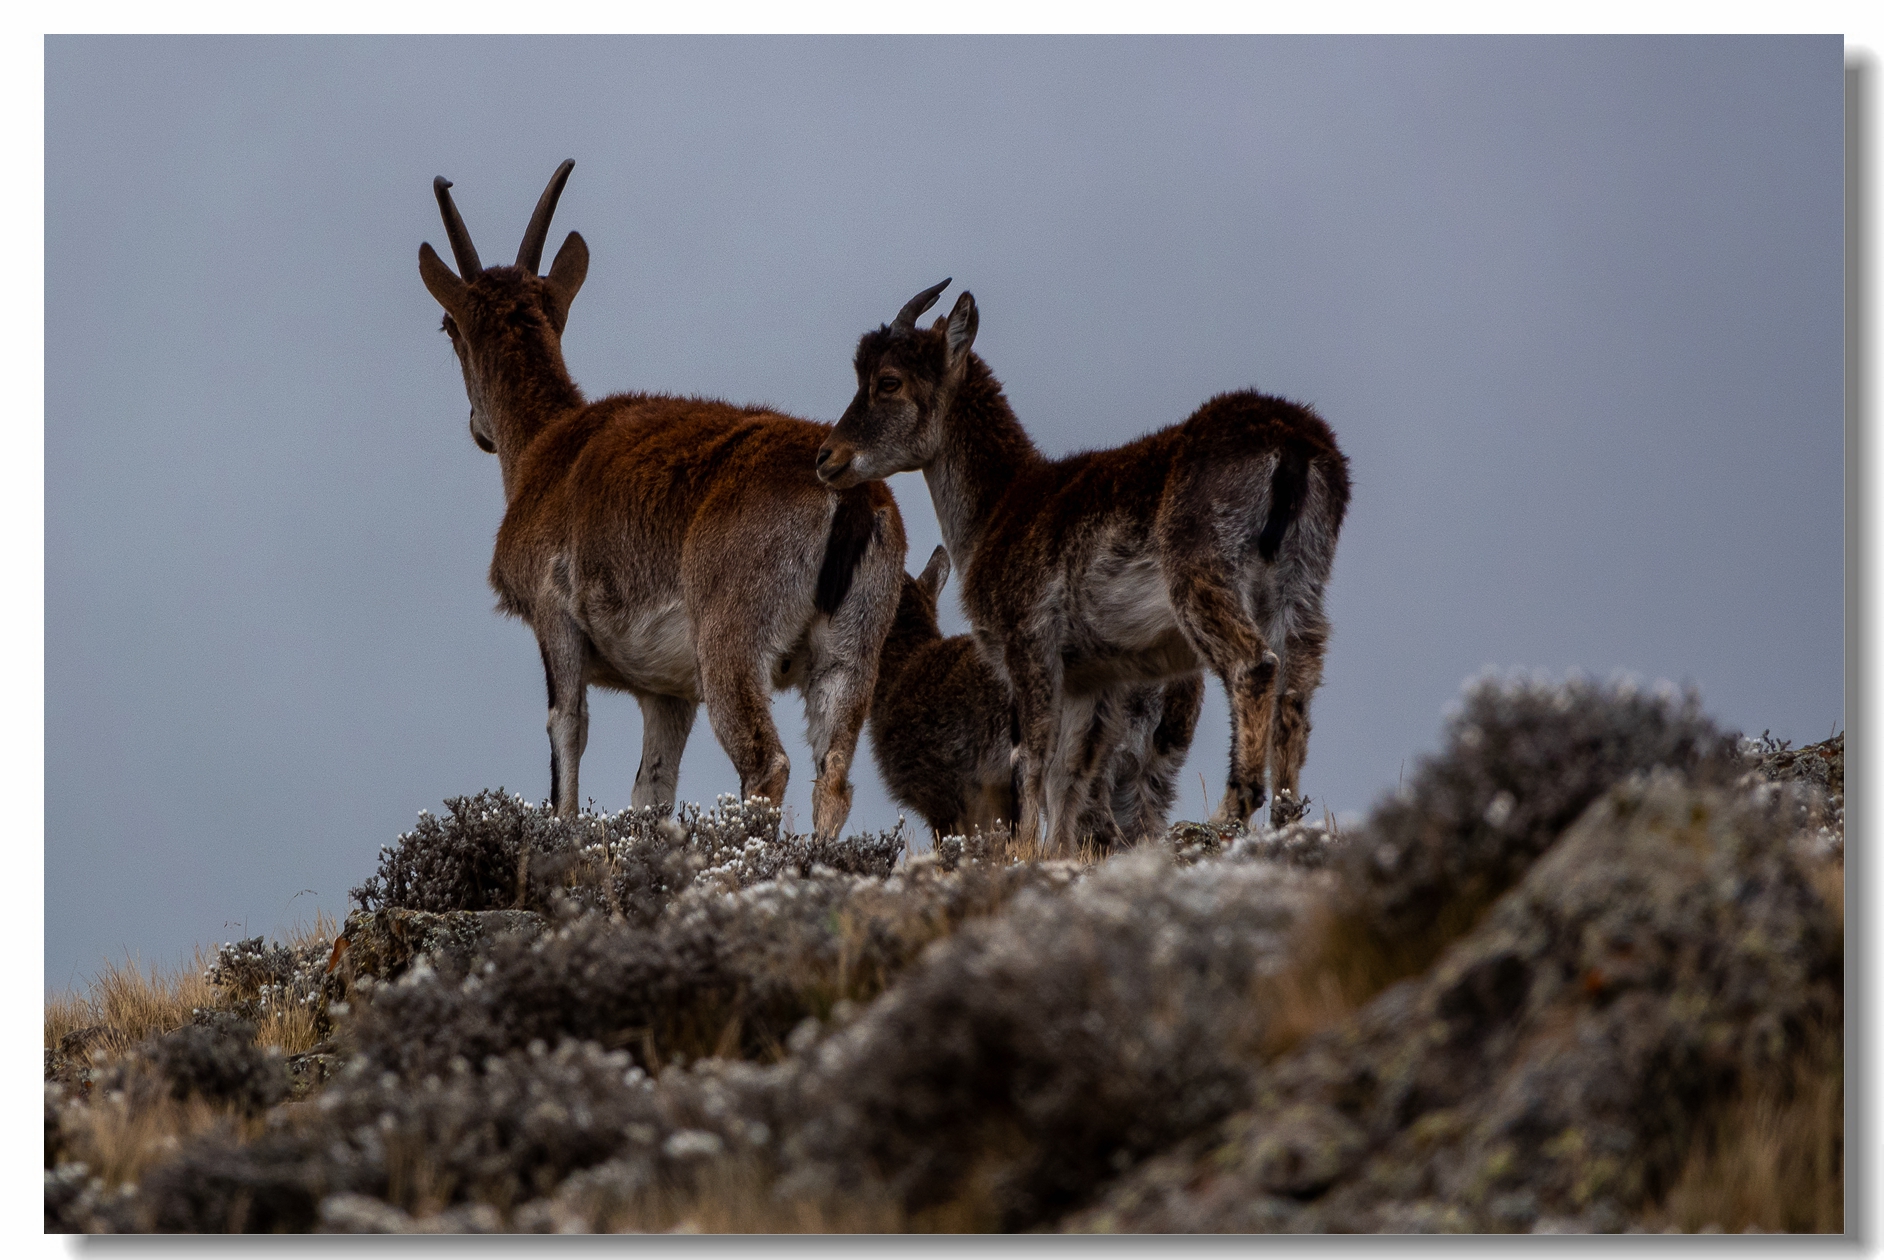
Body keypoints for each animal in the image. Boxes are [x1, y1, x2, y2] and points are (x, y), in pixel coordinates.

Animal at [420, 164, 904, 836]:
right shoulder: (666, 692)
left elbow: (567, 733)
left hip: (732, 636)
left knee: (767, 764)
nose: (478, 428)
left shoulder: (553, 617)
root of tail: (851, 498)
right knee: (832, 774)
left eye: (447, 327)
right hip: (852, 651)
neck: (547, 444)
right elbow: (651, 787)